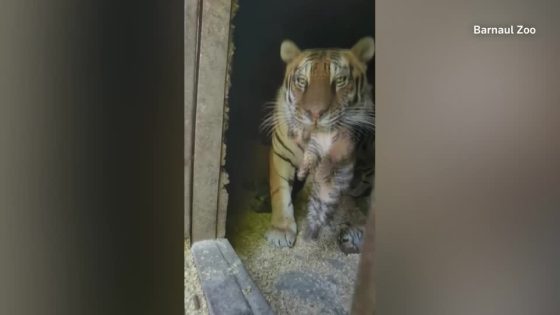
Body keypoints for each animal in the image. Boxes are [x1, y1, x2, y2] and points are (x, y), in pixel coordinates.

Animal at [262, 37, 376, 249]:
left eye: (340, 80)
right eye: (301, 81)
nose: (315, 113)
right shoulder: (281, 155)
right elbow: (280, 192)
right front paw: (281, 230)